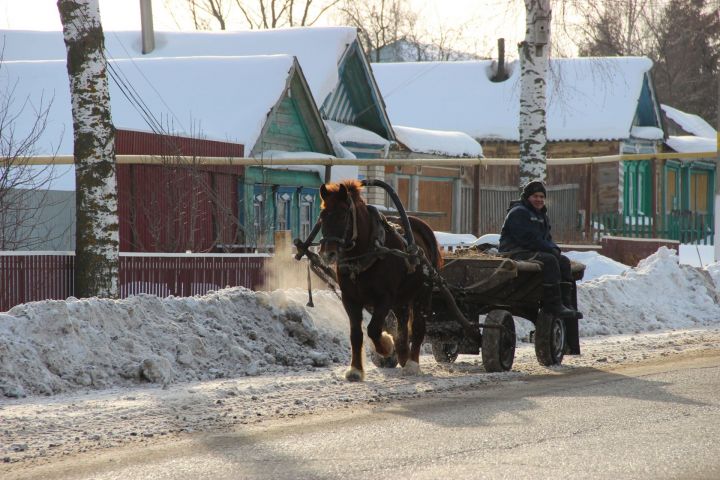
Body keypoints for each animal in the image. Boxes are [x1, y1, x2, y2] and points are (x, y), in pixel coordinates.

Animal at [318, 178, 442, 380]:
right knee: (403, 322)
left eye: (343, 215)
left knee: (417, 327)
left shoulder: (385, 298)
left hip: (422, 294)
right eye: (322, 215)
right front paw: (355, 370)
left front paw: (386, 347)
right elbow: (356, 334)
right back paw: (403, 354)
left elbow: (373, 328)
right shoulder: (349, 299)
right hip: (402, 298)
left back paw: (412, 364)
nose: (328, 253)